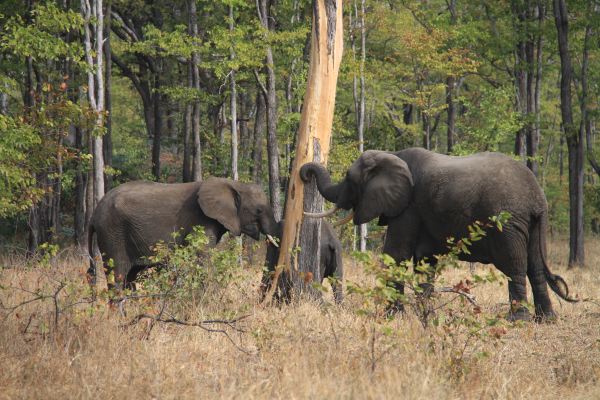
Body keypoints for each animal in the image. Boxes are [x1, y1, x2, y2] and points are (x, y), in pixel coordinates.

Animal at [87, 178, 278, 290]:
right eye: (259, 210)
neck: (234, 184)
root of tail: (94, 213)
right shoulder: (201, 220)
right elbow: (202, 258)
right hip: (112, 232)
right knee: (118, 275)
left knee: (130, 277)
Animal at [302, 148, 580, 320]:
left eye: (349, 180)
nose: (304, 174)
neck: (392, 156)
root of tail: (538, 199)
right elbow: (425, 261)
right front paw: (426, 315)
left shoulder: (409, 207)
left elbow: (396, 254)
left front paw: (392, 316)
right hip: (532, 224)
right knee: (535, 266)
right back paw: (547, 320)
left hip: (507, 222)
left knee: (515, 265)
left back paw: (517, 320)